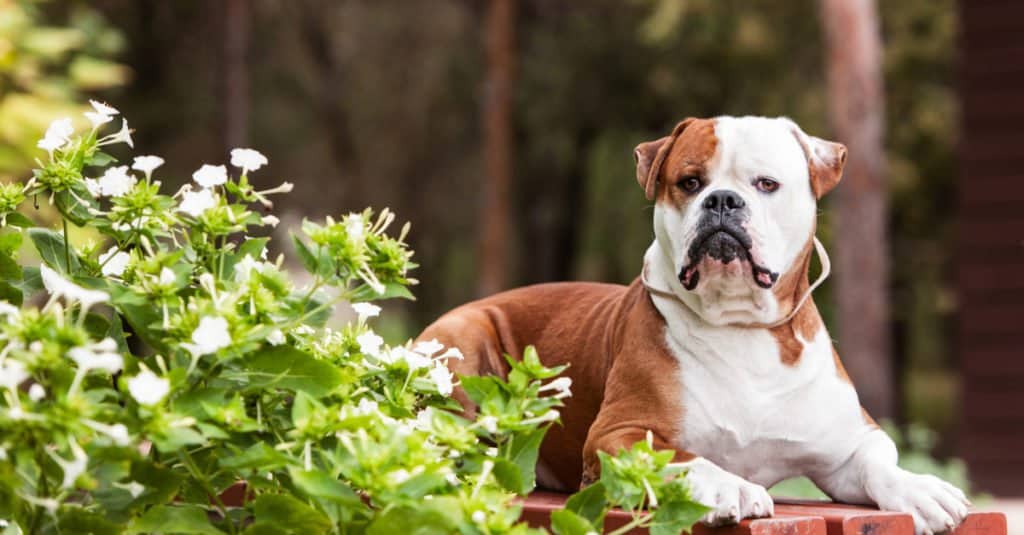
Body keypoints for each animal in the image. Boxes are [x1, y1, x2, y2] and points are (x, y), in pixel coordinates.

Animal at [419, 114, 970, 528]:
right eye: (689, 183)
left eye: (766, 184)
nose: (722, 199)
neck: (741, 325)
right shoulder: (619, 433)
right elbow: (683, 458)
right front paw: (730, 486)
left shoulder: (847, 445)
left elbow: (880, 462)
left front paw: (920, 489)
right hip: (462, 339)